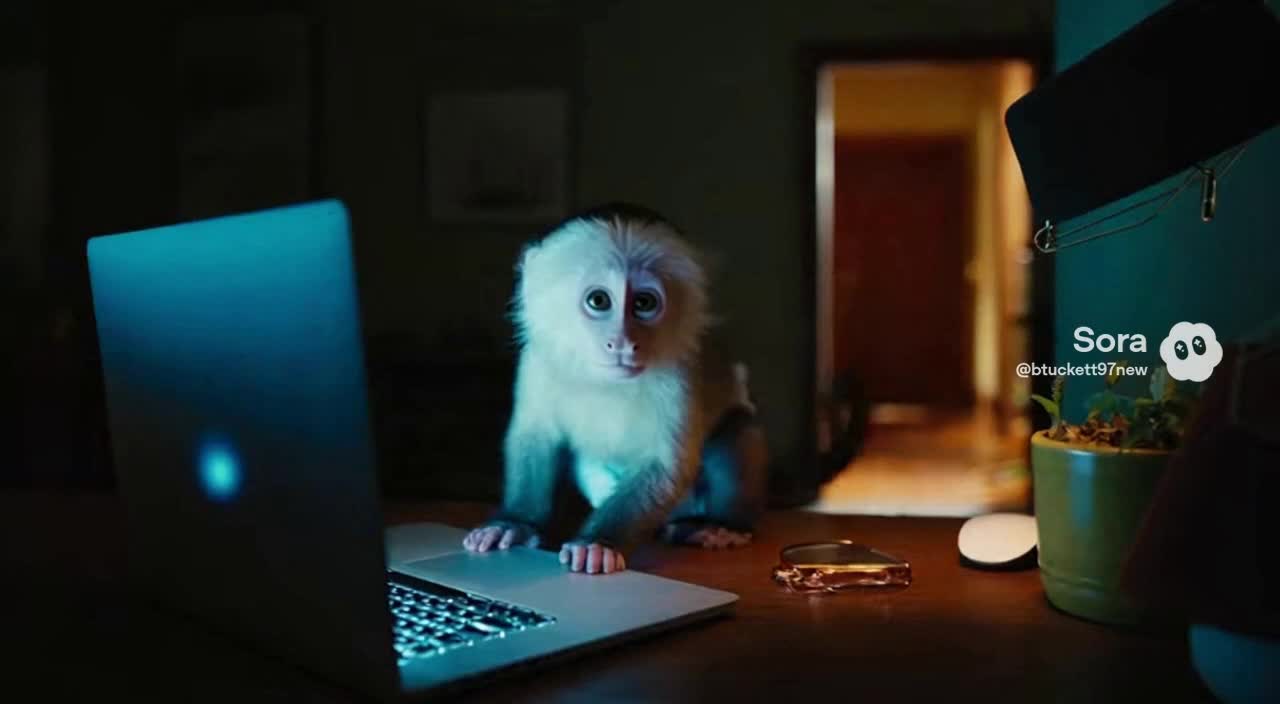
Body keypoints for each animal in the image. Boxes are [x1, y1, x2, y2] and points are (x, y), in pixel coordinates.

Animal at [462, 202, 769, 575]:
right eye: (599, 300)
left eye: (644, 303)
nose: (623, 343)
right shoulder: (538, 359)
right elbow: (536, 438)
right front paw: (515, 523)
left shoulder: (681, 371)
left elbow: (665, 464)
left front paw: (598, 543)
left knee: (736, 429)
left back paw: (722, 525)